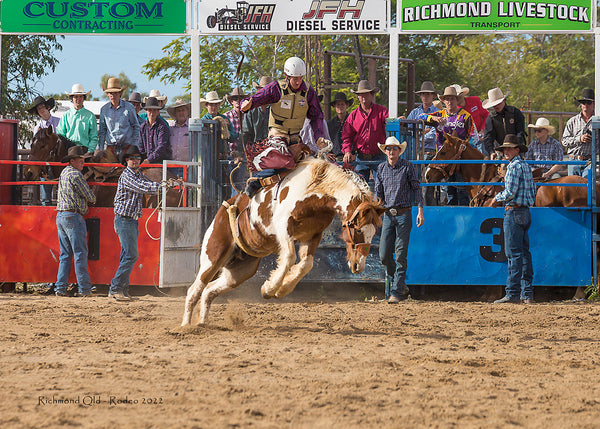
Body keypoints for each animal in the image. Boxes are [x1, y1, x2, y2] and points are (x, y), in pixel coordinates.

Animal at [182, 157, 384, 324]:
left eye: (374, 232)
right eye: (357, 229)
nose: (358, 265)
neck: (314, 190)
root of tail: (224, 208)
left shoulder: (313, 235)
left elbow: (306, 264)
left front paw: (282, 288)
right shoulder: (283, 227)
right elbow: (289, 257)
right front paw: (269, 289)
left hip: (240, 271)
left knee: (209, 290)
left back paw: (202, 323)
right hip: (213, 255)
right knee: (195, 289)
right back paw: (186, 326)